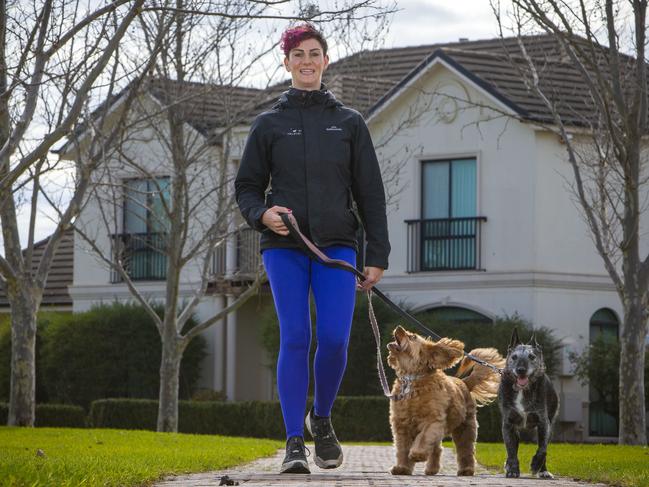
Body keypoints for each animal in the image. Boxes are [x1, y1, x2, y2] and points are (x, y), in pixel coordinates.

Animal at [388, 326, 504, 478]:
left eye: (412, 337)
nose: (398, 327)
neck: (412, 380)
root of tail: (465, 382)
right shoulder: (401, 425)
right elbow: (402, 449)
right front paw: (402, 468)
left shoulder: (433, 421)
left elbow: (423, 439)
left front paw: (417, 454)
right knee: (437, 449)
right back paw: (432, 469)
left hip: (465, 428)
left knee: (466, 450)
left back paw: (466, 470)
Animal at [498, 328, 560, 480]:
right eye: (514, 357)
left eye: (532, 357)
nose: (521, 370)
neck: (522, 389)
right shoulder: (508, 424)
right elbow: (511, 450)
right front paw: (512, 470)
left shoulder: (544, 423)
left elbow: (542, 449)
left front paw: (536, 465)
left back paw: (543, 470)